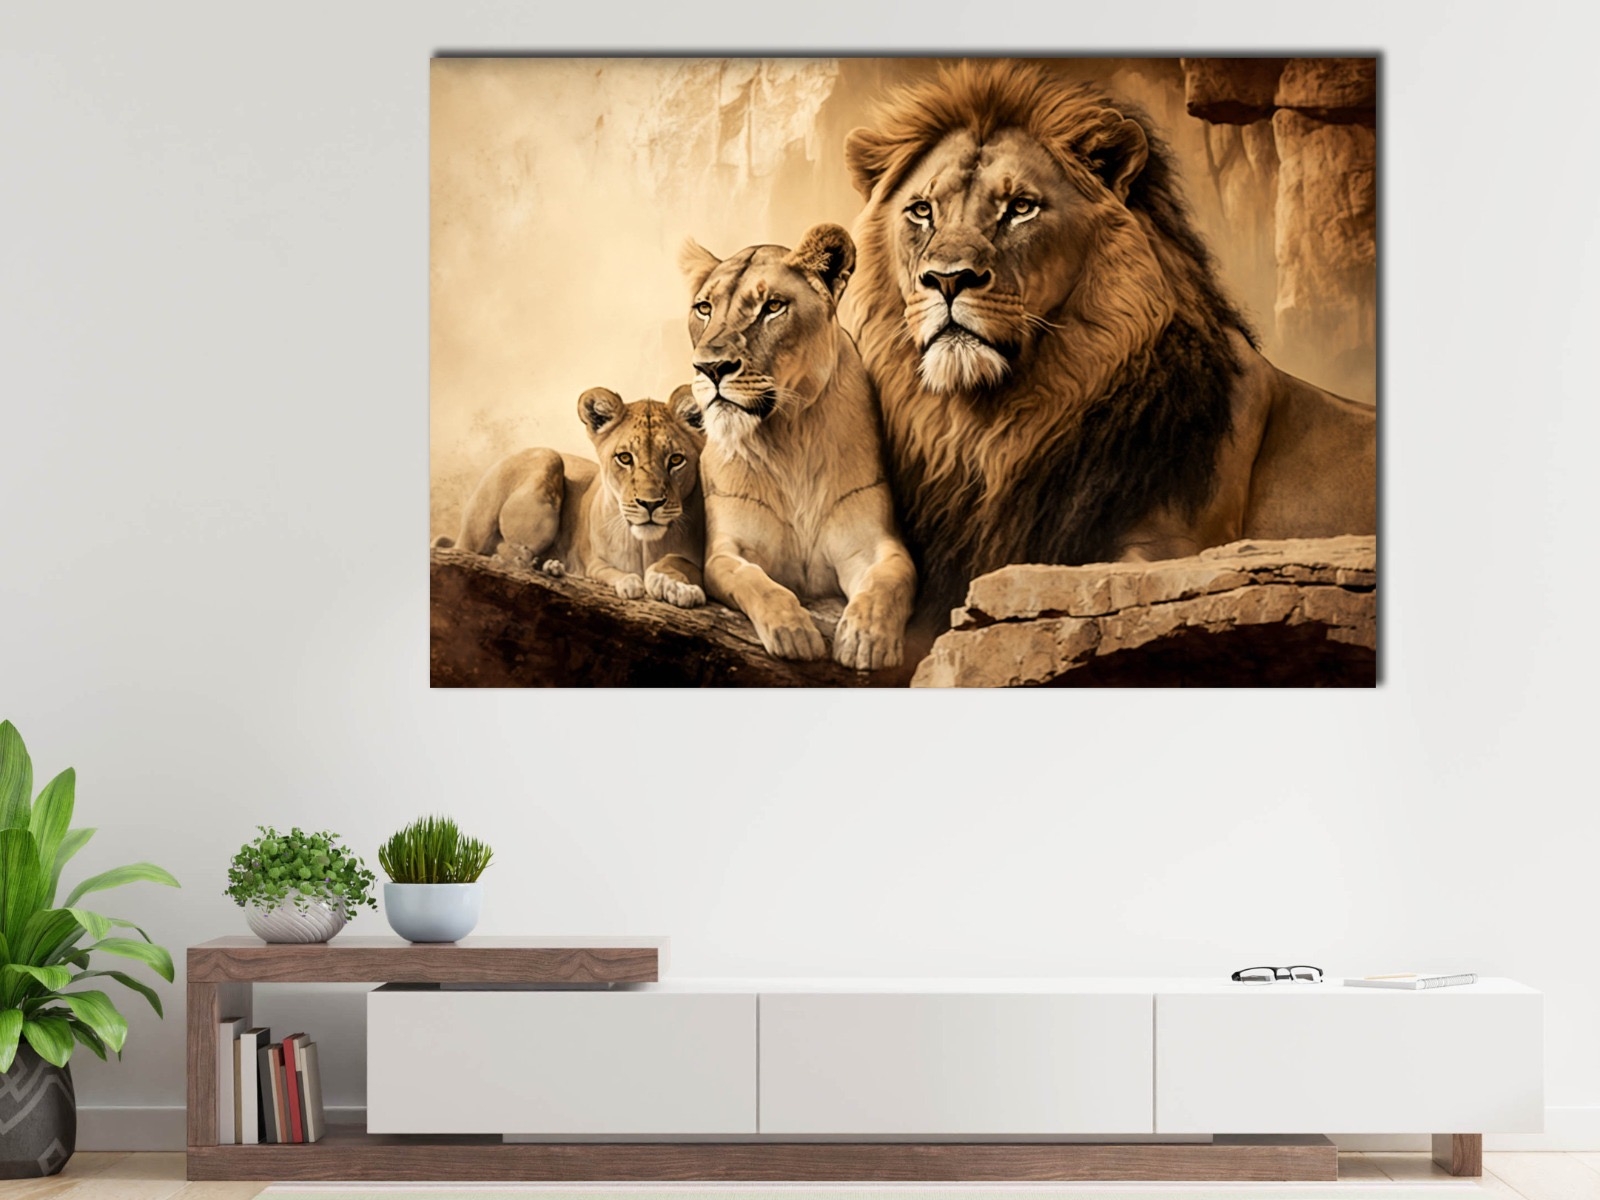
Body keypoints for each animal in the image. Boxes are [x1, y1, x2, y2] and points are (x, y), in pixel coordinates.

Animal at [433, 386, 706, 607]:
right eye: (625, 457)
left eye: (676, 460)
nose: (651, 504)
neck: (643, 545)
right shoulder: (593, 561)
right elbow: (608, 571)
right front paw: (630, 582)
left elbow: (678, 562)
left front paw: (675, 585)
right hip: (546, 458)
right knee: (495, 549)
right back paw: (535, 562)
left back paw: (549, 566)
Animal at [680, 222, 917, 669]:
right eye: (703, 308)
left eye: (772, 306)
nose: (710, 368)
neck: (789, 438)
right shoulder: (728, 549)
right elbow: (754, 580)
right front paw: (795, 633)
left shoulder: (870, 546)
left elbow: (890, 580)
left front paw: (865, 639)